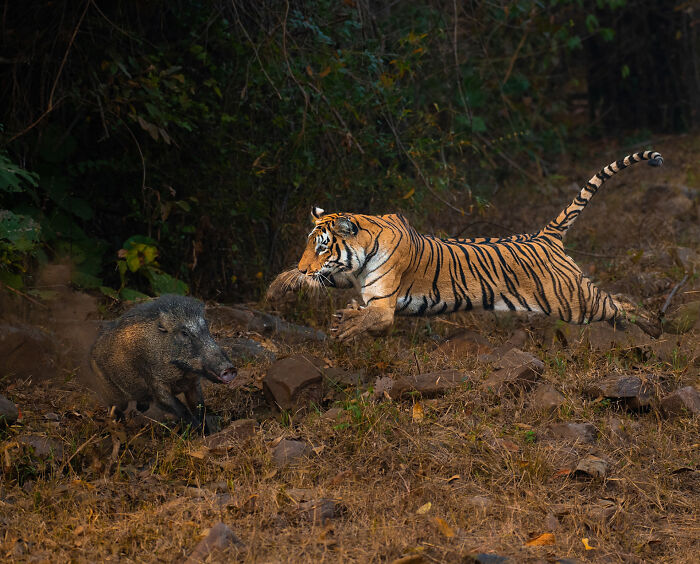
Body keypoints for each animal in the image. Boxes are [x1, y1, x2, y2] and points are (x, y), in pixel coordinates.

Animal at [90, 295, 236, 432]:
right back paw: (117, 421)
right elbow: (180, 408)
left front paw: (206, 432)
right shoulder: (155, 383)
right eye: (184, 333)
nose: (229, 369)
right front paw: (197, 430)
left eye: (206, 329)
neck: (182, 373)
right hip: (110, 391)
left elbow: (199, 407)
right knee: (115, 406)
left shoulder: (194, 384)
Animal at [267, 150, 664, 342]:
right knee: (620, 300)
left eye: (322, 247)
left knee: (621, 304)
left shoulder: (382, 302)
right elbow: (323, 281)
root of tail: (545, 235)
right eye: (309, 246)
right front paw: (279, 285)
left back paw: (653, 327)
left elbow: (369, 318)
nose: (303, 265)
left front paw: (347, 324)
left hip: (574, 301)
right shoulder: (349, 276)